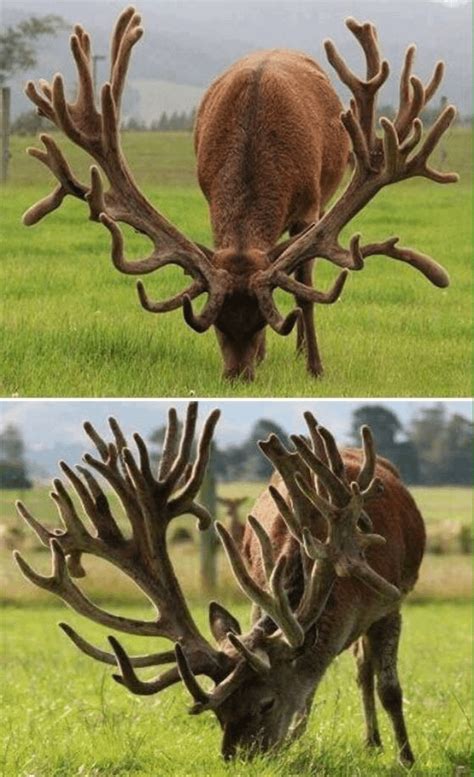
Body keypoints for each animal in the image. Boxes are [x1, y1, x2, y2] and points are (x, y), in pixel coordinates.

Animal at [14, 404, 424, 768]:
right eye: (220, 712)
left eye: (266, 703)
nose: (237, 759)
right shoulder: (260, 597)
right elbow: (310, 690)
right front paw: (296, 739)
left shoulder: (390, 600)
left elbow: (389, 688)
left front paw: (406, 758)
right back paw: (356, 740)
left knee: (364, 669)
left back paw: (375, 742)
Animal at [23, 7, 460, 380]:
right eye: (216, 325)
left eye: (261, 323)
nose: (237, 375)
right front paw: (268, 357)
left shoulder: (310, 207)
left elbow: (304, 291)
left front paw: (315, 367)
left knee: (303, 278)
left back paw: (303, 351)